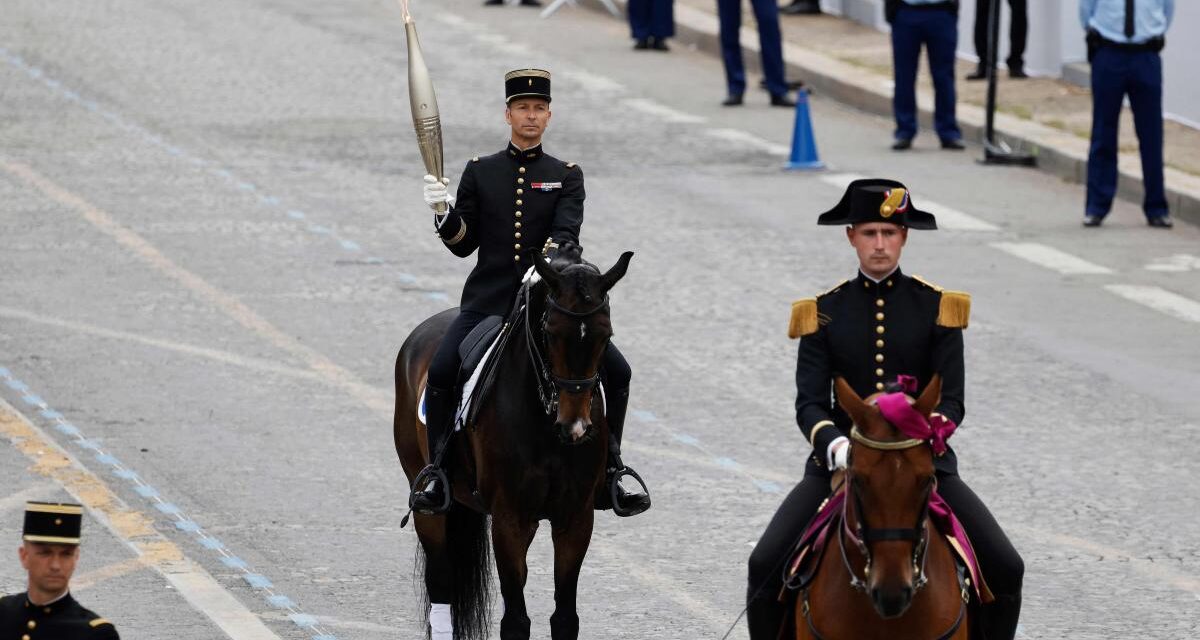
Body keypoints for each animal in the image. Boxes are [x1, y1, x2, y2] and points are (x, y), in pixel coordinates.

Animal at [393, 249, 638, 638]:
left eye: (606, 334)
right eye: (550, 333)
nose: (575, 426)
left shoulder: (575, 518)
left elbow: (565, 617)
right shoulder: (509, 518)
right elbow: (515, 621)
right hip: (429, 502)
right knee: (441, 581)